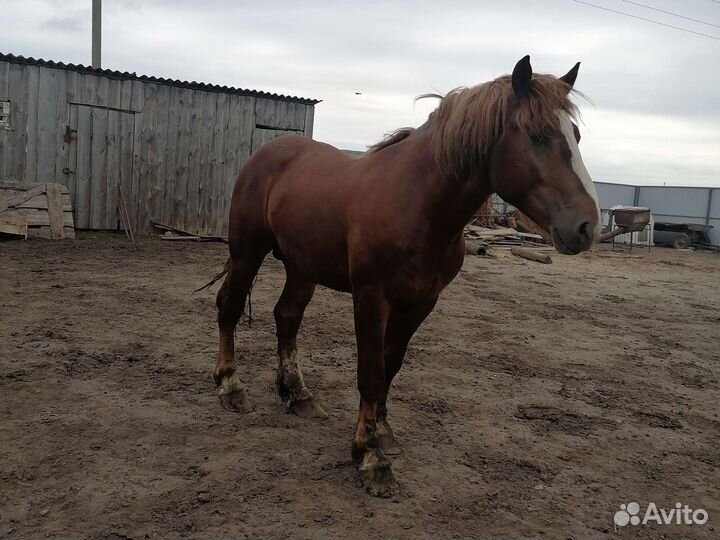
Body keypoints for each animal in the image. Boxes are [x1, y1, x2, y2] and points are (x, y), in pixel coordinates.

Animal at [206, 55, 601, 497]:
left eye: (576, 135)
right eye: (537, 135)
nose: (586, 226)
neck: (418, 204)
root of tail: (269, 152)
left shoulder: (421, 302)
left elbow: (390, 365)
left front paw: (381, 431)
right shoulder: (371, 298)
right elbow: (370, 373)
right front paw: (370, 457)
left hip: (302, 266)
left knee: (286, 317)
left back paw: (298, 395)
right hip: (247, 252)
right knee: (229, 307)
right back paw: (230, 387)